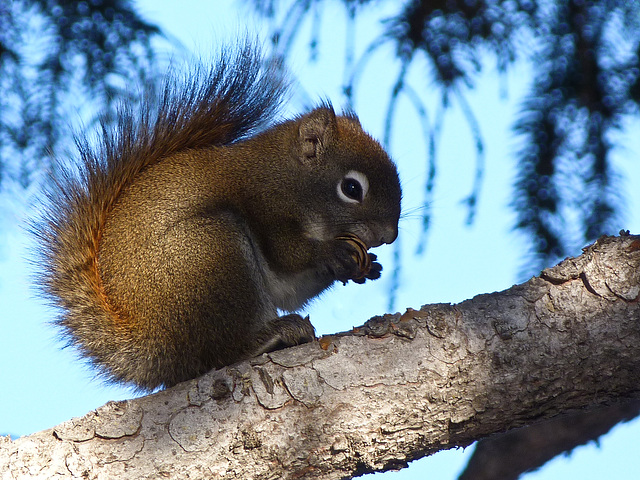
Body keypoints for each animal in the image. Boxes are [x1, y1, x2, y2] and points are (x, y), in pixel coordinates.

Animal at [33, 44, 400, 390]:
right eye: (351, 188)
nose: (389, 235)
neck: (286, 174)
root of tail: (154, 346)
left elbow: (291, 289)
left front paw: (368, 266)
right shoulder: (266, 205)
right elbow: (289, 256)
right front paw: (334, 252)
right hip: (213, 254)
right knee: (219, 353)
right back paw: (272, 335)